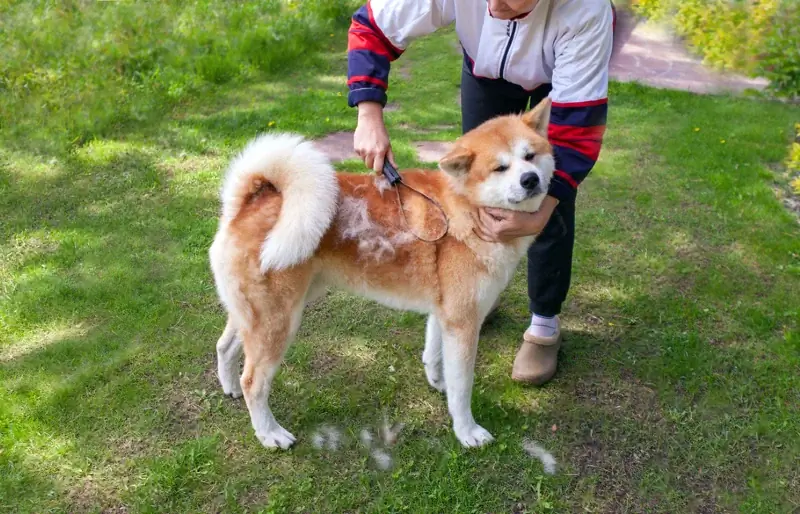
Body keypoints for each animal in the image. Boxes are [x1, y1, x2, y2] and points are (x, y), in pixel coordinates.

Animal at [209, 97, 552, 448]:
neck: (462, 207)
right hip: (278, 322)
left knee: (225, 347)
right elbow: (462, 388)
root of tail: (249, 202)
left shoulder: (444, 314)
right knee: (253, 381)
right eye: (500, 168)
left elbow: (434, 356)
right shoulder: (463, 323)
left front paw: (437, 383)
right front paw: (467, 431)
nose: (530, 179)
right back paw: (269, 432)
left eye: (530, 156)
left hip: (260, 314)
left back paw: (230, 387)